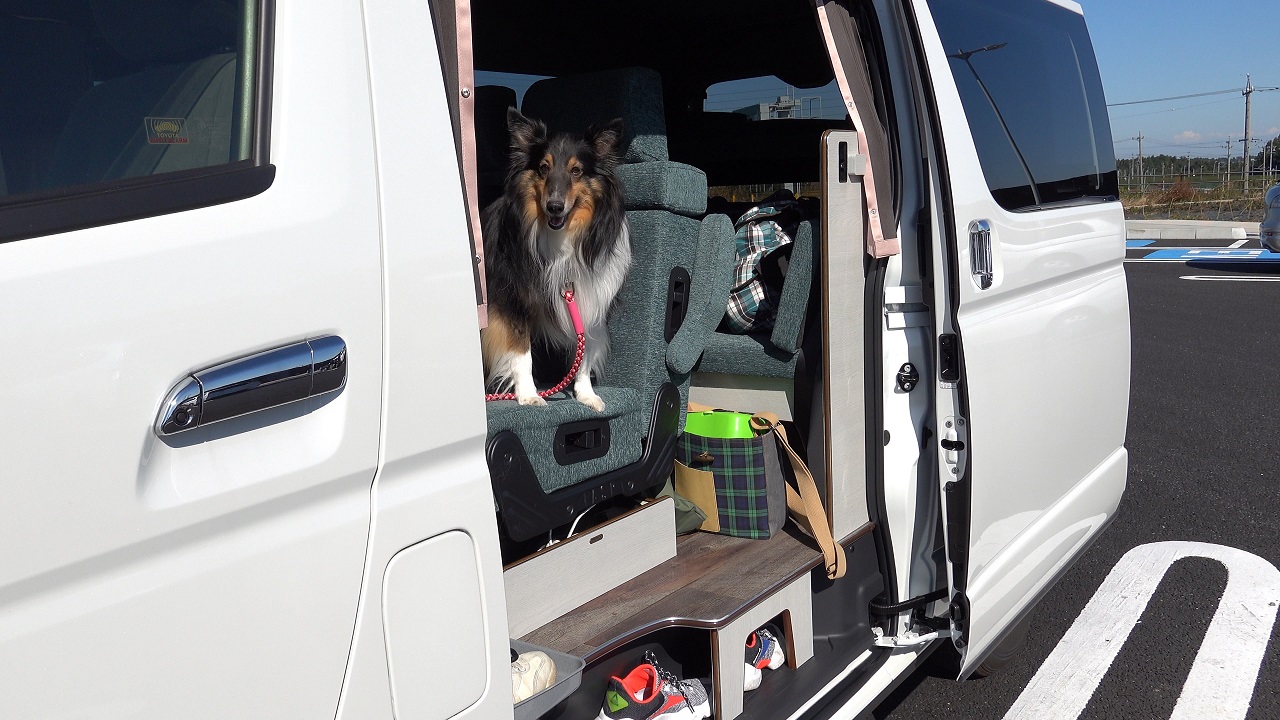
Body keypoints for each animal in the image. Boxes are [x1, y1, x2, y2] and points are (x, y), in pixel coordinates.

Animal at [481, 106, 629, 409]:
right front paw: (528, 394)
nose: (554, 207)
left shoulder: (588, 300)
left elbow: (584, 356)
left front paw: (586, 394)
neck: (564, 238)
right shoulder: (512, 301)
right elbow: (521, 353)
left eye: (576, 171)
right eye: (543, 168)